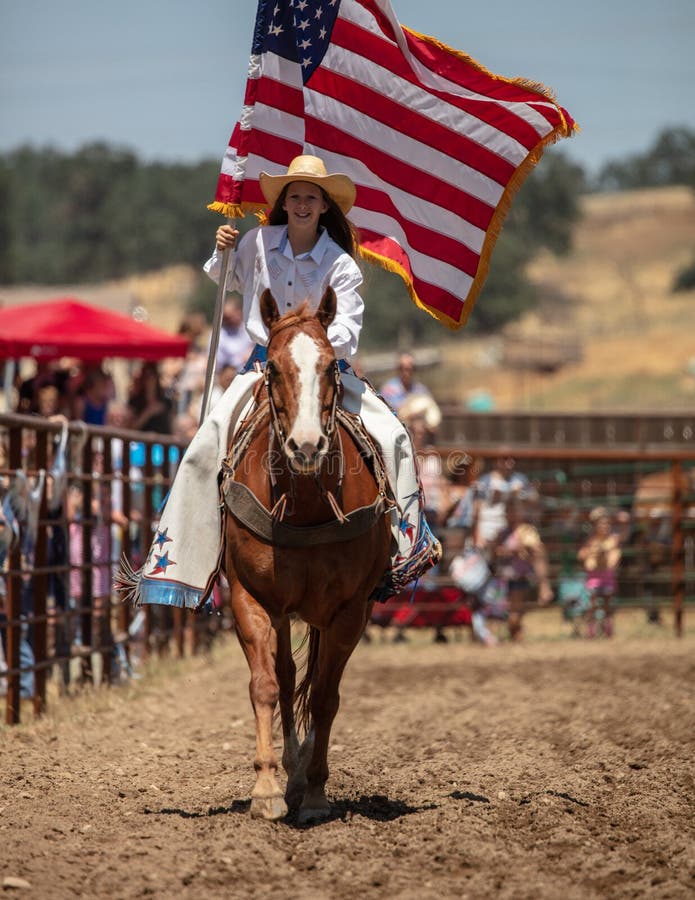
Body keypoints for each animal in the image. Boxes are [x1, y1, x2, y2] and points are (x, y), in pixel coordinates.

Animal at [226, 288, 394, 824]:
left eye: (329, 366)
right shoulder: (252, 600)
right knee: (284, 677)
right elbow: (265, 686)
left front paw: (317, 794)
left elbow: (324, 698)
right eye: (274, 368)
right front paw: (266, 790)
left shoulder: (349, 611)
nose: (305, 446)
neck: (304, 505)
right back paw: (290, 772)